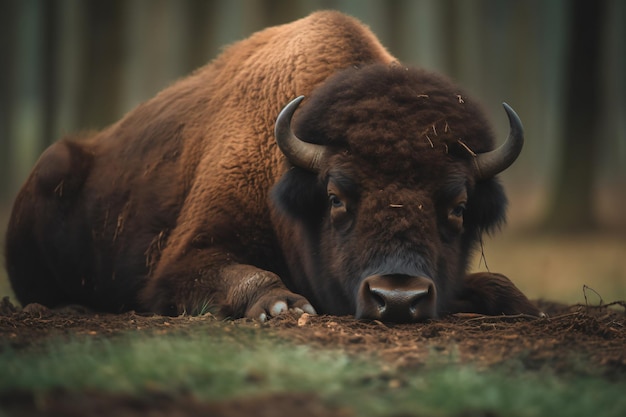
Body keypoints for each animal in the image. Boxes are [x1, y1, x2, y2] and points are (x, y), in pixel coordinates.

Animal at [4, 10, 540, 322]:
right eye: (335, 198)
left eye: (458, 206)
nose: (397, 298)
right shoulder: (182, 261)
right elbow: (241, 276)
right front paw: (283, 307)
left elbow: (491, 283)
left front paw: (517, 303)